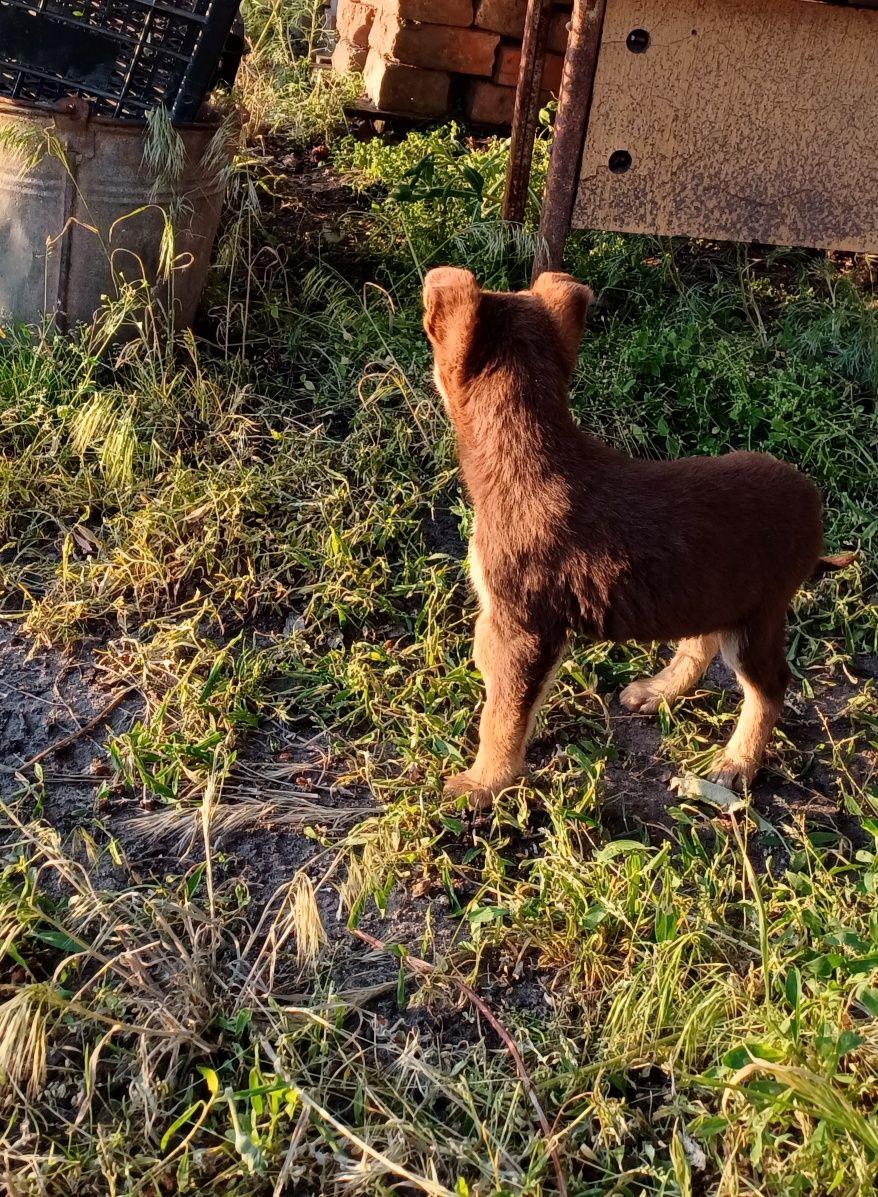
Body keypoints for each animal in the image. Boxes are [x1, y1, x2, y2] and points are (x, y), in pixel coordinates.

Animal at [423, 266, 856, 809]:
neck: (530, 453)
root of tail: (813, 504)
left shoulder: (523, 626)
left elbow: (502, 714)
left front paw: (484, 783)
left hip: (757, 615)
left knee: (770, 686)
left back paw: (737, 763)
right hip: (713, 591)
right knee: (701, 642)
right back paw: (660, 691)